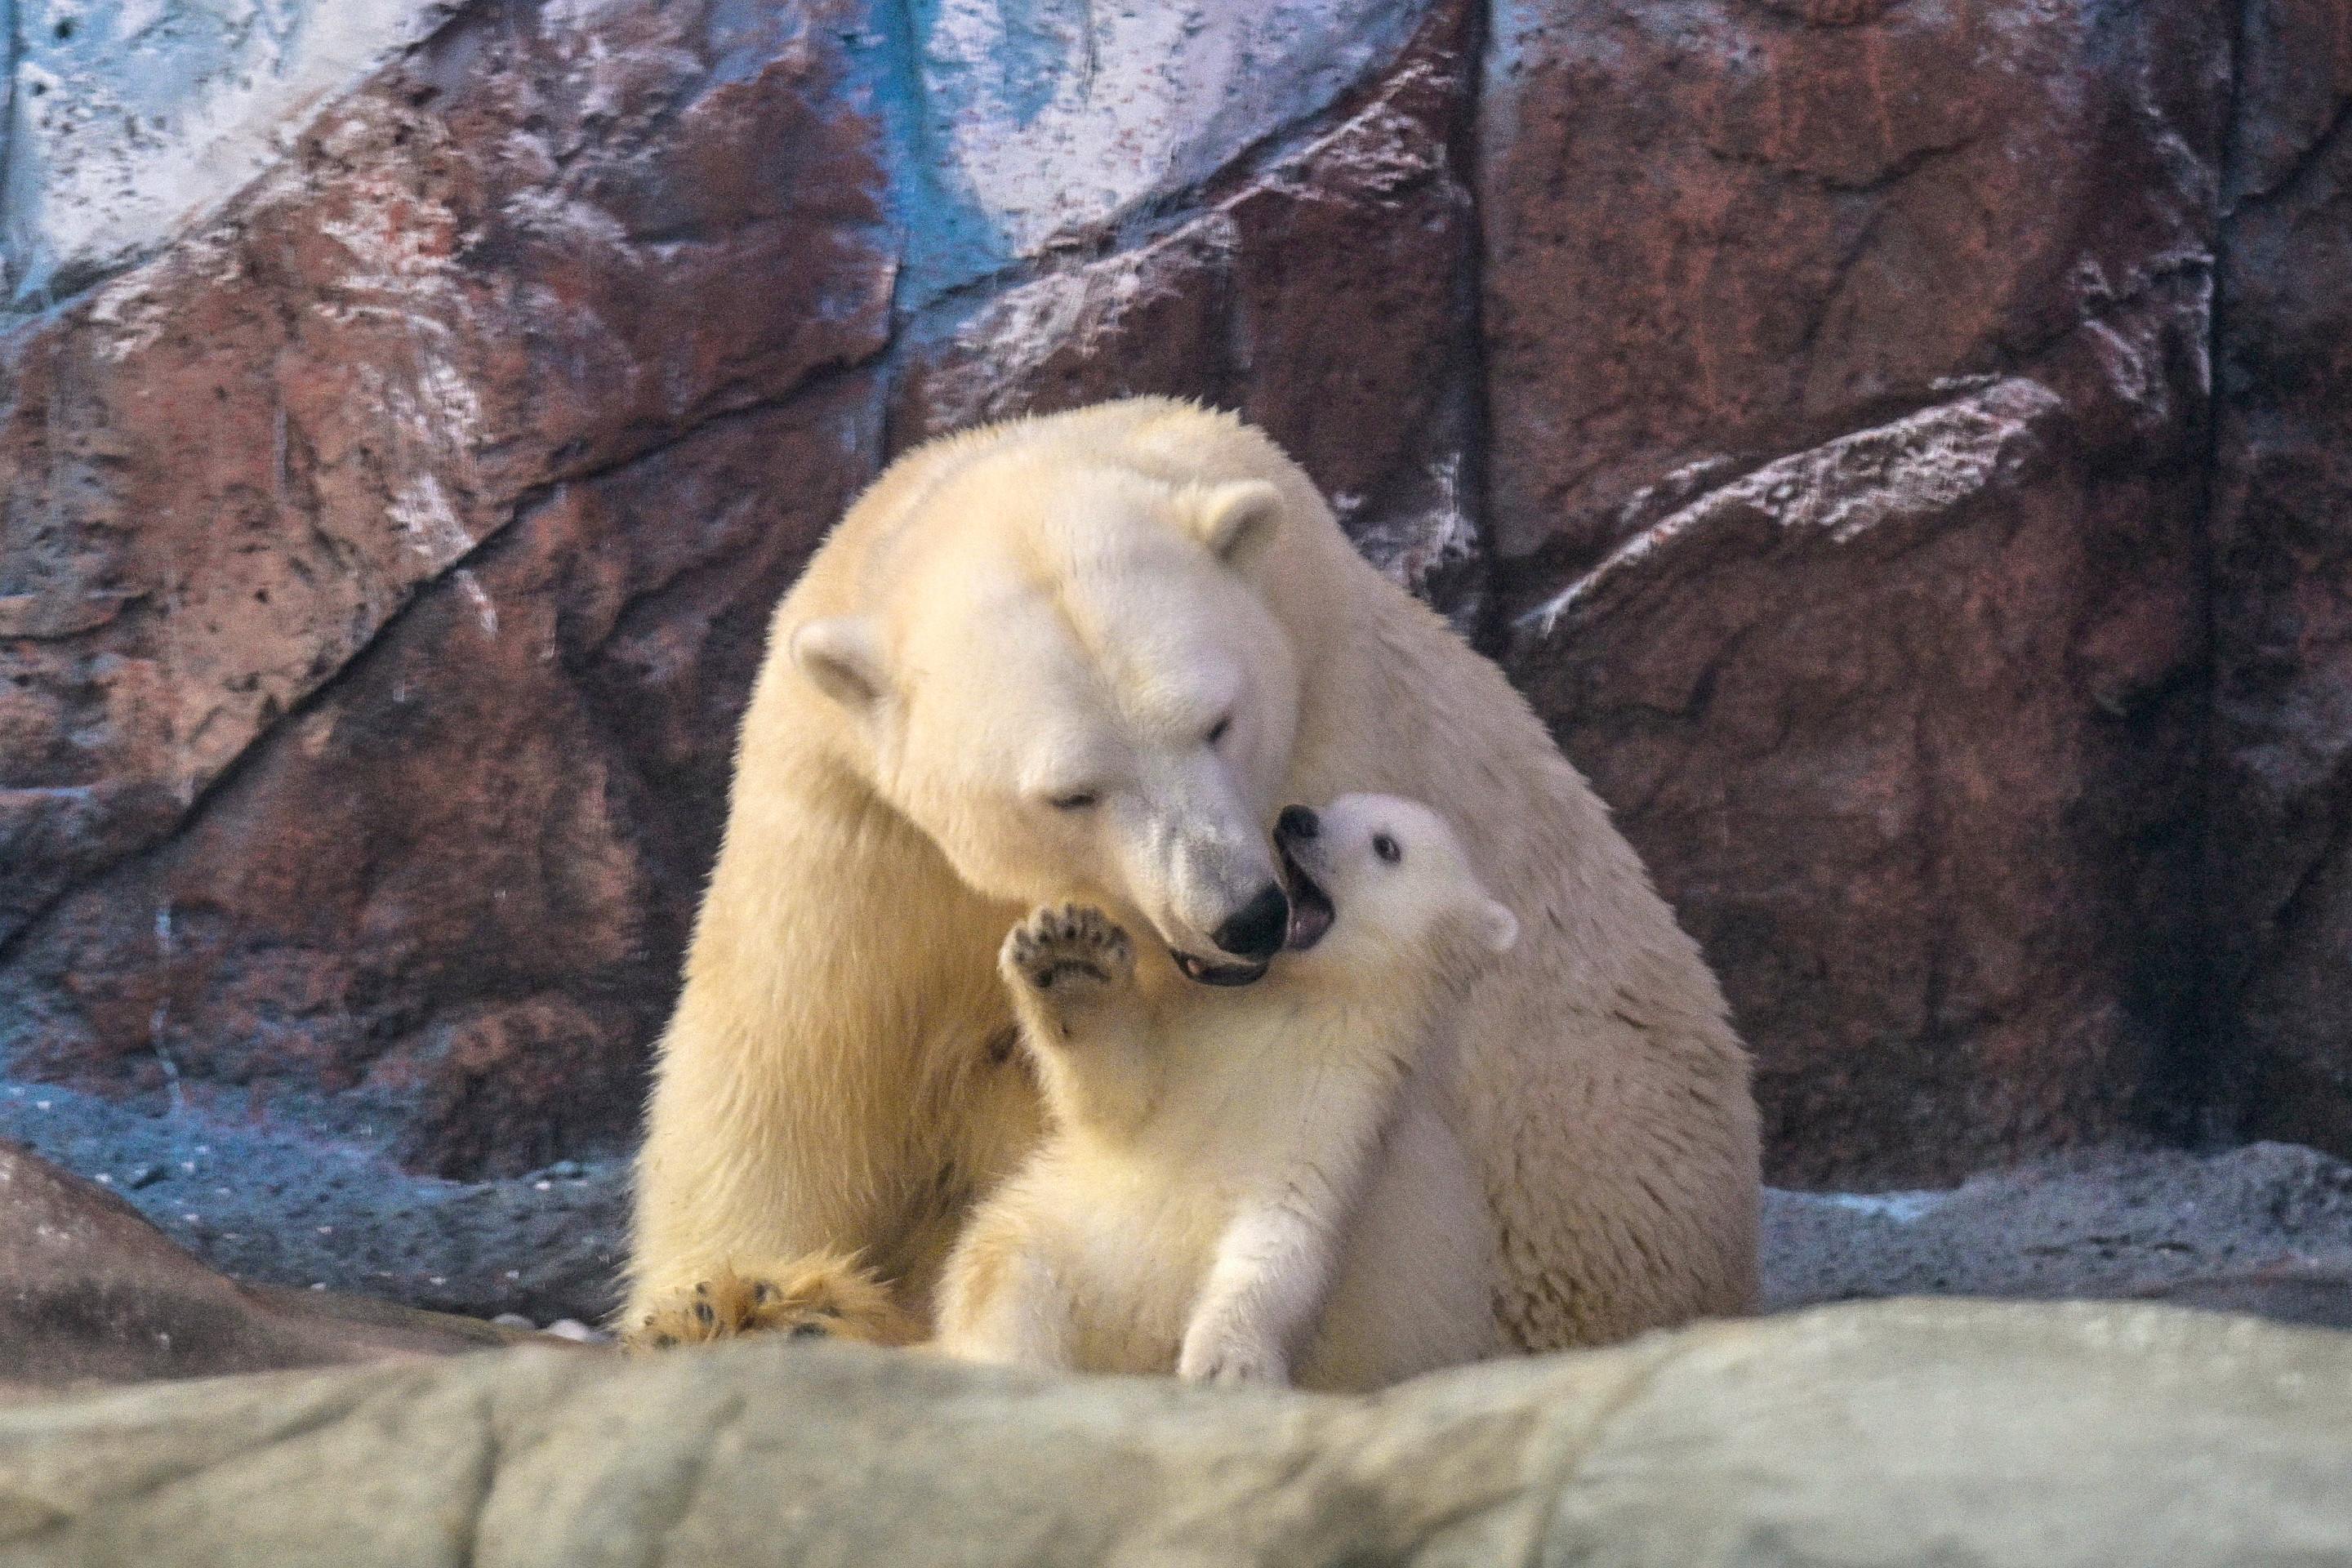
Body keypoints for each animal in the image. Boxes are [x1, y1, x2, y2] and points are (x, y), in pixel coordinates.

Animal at [616, 394, 1759, 1354]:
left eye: (1217, 720)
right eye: (1072, 793)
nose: (1243, 915)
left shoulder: (1340, 719)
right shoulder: (848, 812)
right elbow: (786, 1057)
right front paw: (734, 1302)